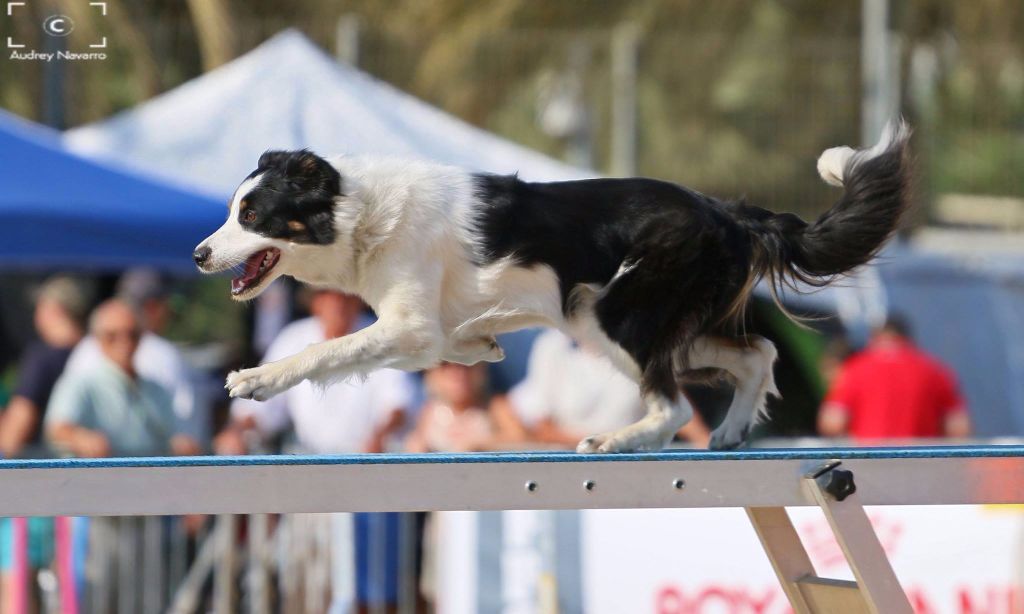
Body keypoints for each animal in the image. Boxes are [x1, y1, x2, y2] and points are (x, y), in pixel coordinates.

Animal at [193, 121, 913, 450]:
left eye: (250, 215)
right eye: (231, 210)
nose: (199, 254)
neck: (358, 213)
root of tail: (726, 211)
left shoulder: (408, 325)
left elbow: (323, 350)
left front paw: (255, 379)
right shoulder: (421, 332)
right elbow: (446, 343)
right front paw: (479, 347)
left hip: (613, 319)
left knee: (675, 406)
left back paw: (616, 441)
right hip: (650, 327)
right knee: (757, 354)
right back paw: (731, 433)